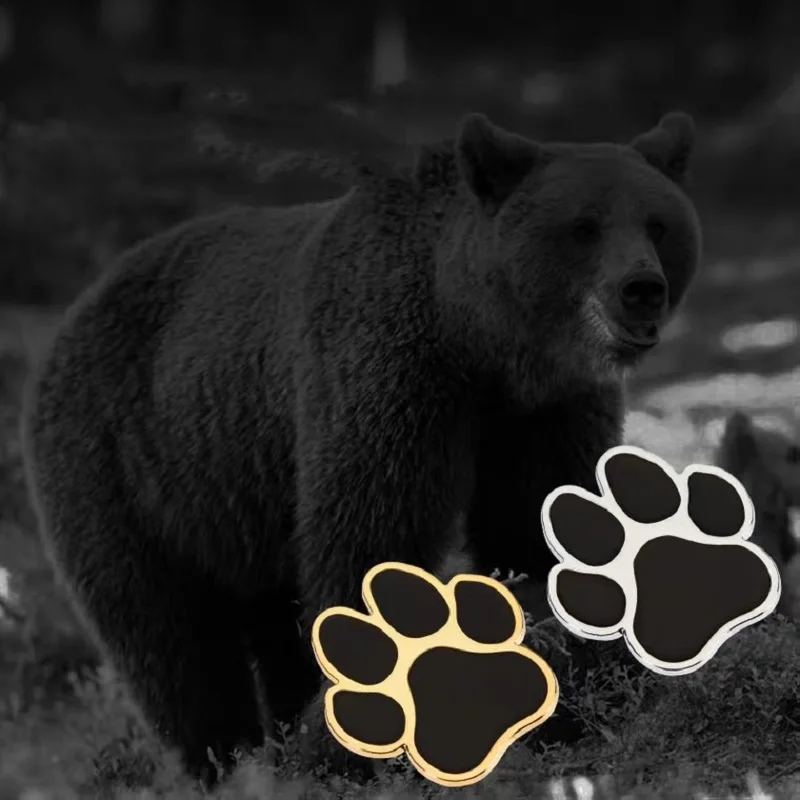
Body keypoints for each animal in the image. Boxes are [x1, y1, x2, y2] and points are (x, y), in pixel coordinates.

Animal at [20, 110, 702, 786]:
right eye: (583, 226)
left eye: (658, 222)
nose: (641, 287)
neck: (481, 342)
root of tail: (76, 309)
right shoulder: (387, 373)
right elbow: (373, 535)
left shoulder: (542, 412)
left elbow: (537, 528)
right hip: (126, 462)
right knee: (170, 636)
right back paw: (224, 761)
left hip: (241, 501)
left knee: (266, 618)